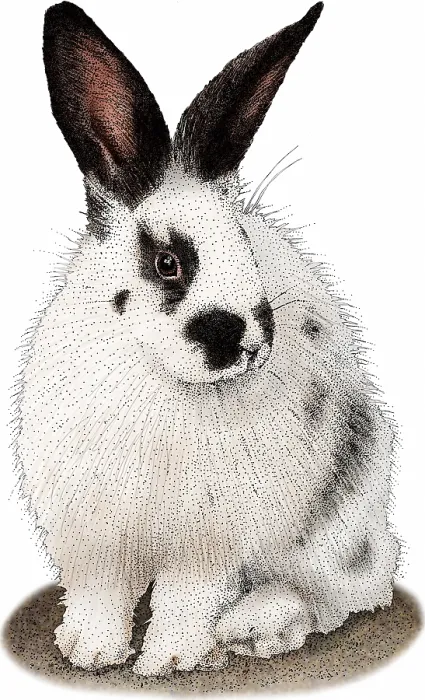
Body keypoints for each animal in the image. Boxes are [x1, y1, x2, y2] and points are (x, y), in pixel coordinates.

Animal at [16, 0, 400, 678]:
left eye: (245, 245)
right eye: (168, 262)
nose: (249, 341)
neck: (157, 377)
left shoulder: (210, 537)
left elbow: (186, 597)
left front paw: (170, 659)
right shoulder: (94, 529)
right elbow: (100, 591)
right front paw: (89, 649)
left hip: (339, 524)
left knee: (340, 592)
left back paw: (254, 629)